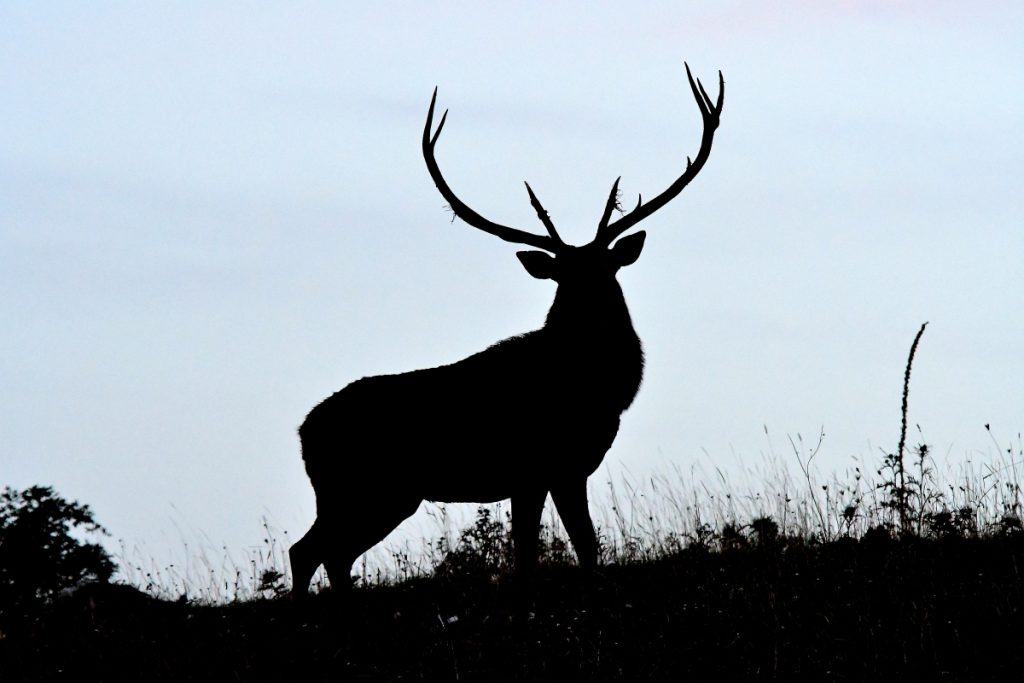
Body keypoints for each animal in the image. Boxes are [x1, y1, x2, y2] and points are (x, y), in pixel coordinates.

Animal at [290, 64, 724, 596]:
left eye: (606, 269)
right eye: (564, 276)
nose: (592, 312)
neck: (600, 392)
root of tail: (303, 432)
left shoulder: (559, 469)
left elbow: (572, 548)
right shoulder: (539, 466)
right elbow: (551, 552)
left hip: (378, 494)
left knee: (325, 551)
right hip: (366, 487)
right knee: (312, 549)